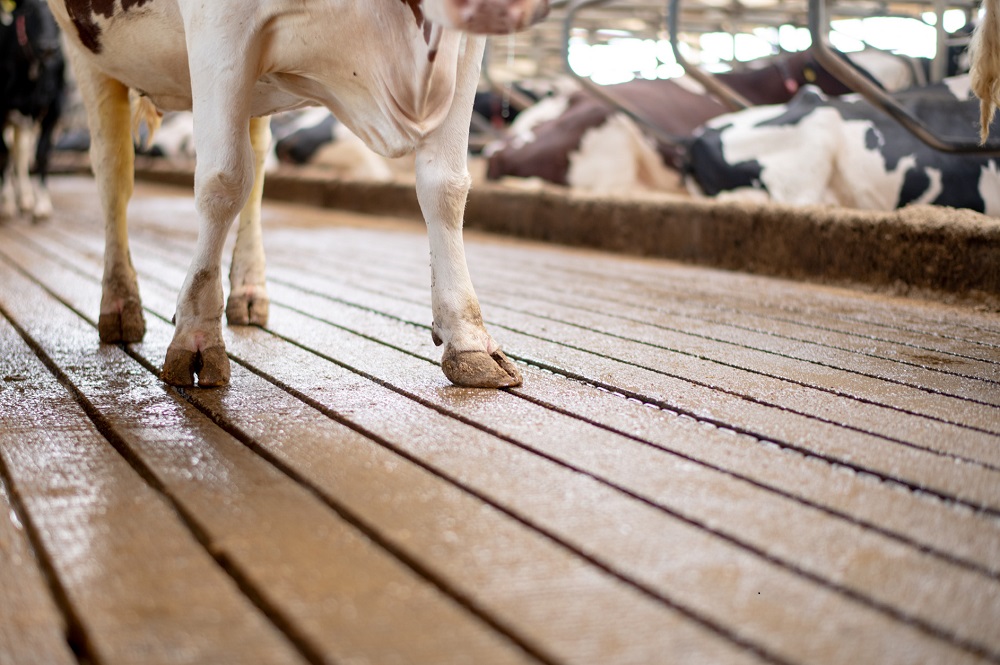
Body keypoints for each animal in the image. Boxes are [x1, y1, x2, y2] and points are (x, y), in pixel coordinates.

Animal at [0, 0, 66, 223]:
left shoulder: (54, 108)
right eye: (29, 9)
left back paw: (26, 197)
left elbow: (42, 154)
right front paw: (6, 204)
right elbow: (4, 153)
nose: (48, 47)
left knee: (21, 151)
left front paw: (42, 204)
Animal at [50, 0, 552, 392]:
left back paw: (248, 290)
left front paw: (469, 341)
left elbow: (445, 185)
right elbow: (221, 181)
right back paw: (119, 304)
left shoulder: (462, 43)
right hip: (89, 53)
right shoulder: (219, 25)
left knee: (254, 155)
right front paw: (196, 336)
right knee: (114, 168)